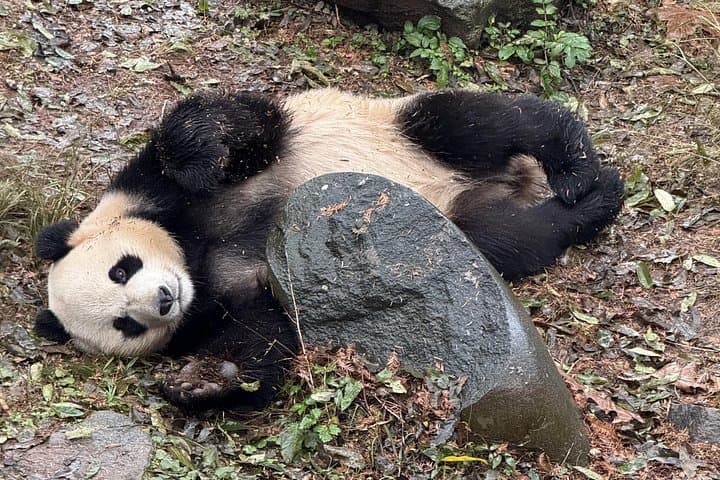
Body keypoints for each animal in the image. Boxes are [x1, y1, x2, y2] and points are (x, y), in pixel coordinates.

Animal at [34, 88, 624, 411]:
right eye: (125, 325)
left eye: (121, 268)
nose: (162, 299)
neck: (192, 256)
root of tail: (506, 183)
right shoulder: (223, 301)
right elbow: (265, 335)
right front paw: (203, 384)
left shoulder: (153, 191)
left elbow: (223, 127)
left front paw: (198, 155)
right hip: (457, 229)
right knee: (511, 236)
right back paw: (583, 205)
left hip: (398, 128)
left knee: (479, 122)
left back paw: (581, 172)